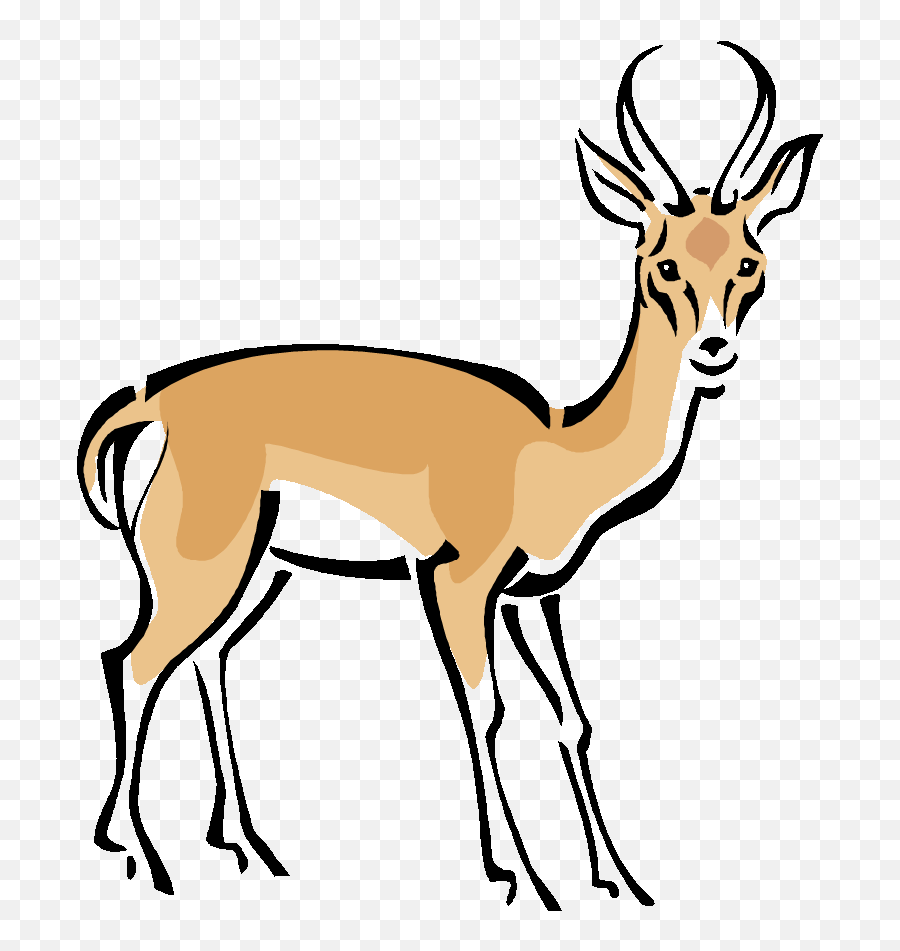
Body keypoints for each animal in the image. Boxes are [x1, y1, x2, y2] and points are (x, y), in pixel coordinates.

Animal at [77, 42, 821, 907]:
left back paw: (248, 846)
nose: (713, 350)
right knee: (132, 661)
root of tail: (150, 402)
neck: (555, 450)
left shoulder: (534, 596)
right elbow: (485, 706)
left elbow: (574, 717)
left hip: (260, 569)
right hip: (201, 564)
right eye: (660, 261)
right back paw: (139, 852)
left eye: (748, 258)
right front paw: (522, 874)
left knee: (207, 660)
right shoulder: (455, 578)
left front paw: (619, 877)